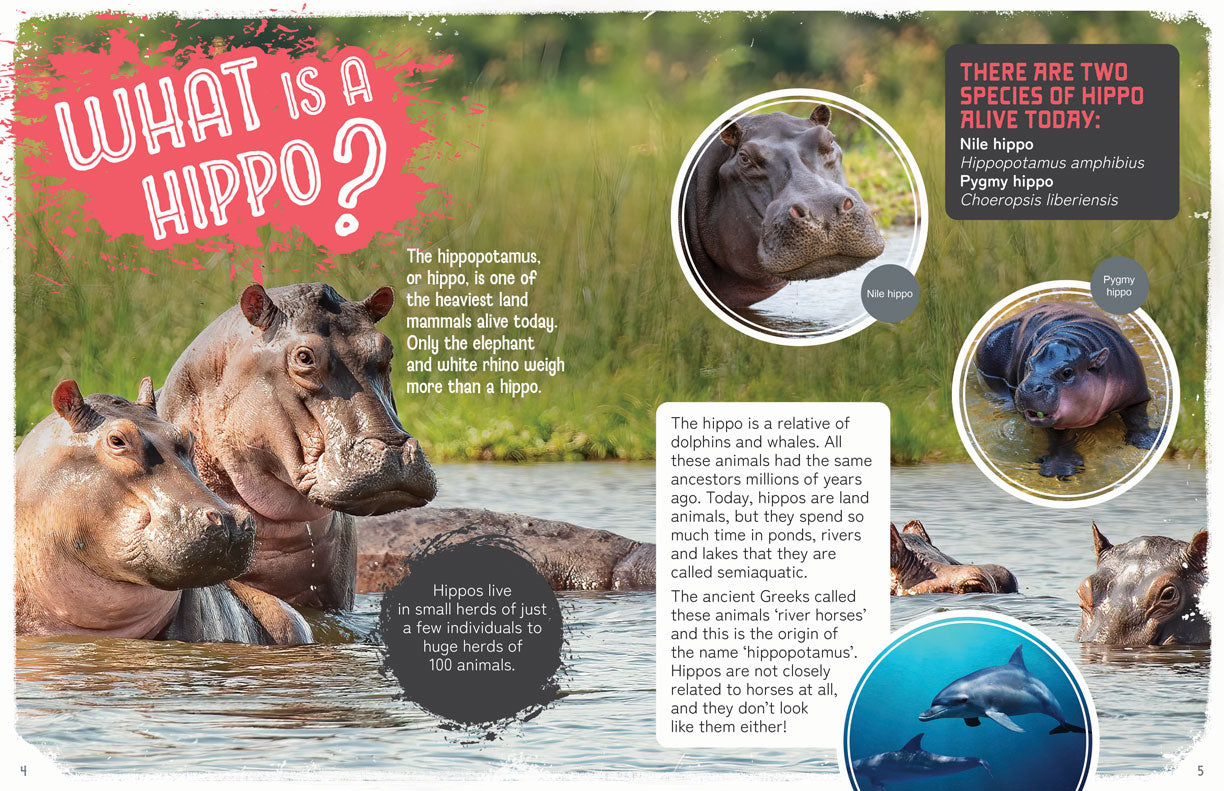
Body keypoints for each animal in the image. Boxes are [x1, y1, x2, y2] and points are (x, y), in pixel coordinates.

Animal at [974, 301, 1160, 479]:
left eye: (1067, 372)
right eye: (1028, 364)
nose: (1029, 387)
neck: (1073, 336)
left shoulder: (1137, 393)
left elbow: (1137, 417)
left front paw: (1151, 441)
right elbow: (1059, 439)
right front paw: (1059, 468)